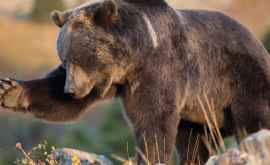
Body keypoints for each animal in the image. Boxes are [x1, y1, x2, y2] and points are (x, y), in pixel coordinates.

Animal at [0, 0, 270, 164]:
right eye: (64, 60)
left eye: (79, 57)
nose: (71, 90)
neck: (133, 60)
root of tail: (259, 45)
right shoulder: (111, 81)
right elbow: (58, 98)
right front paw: (9, 90)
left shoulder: (159, 69)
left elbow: (153, 120)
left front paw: (150, 156)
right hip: (200, 112)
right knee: (194, 143)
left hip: (240, 82)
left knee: (254, 120)